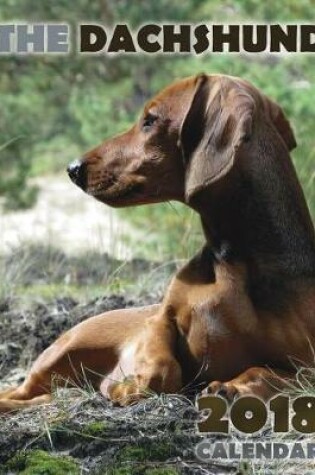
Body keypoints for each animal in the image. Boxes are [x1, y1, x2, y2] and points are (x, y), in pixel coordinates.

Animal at [0, 74, 315, 412]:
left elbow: (265, 371)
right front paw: (127, 385)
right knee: (15, 393)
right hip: (60, 353)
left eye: (150, 120)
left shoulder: (305, 367)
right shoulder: (161, 319)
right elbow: (163, 367)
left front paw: (233, 387)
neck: (232, 260)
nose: (73, 168)